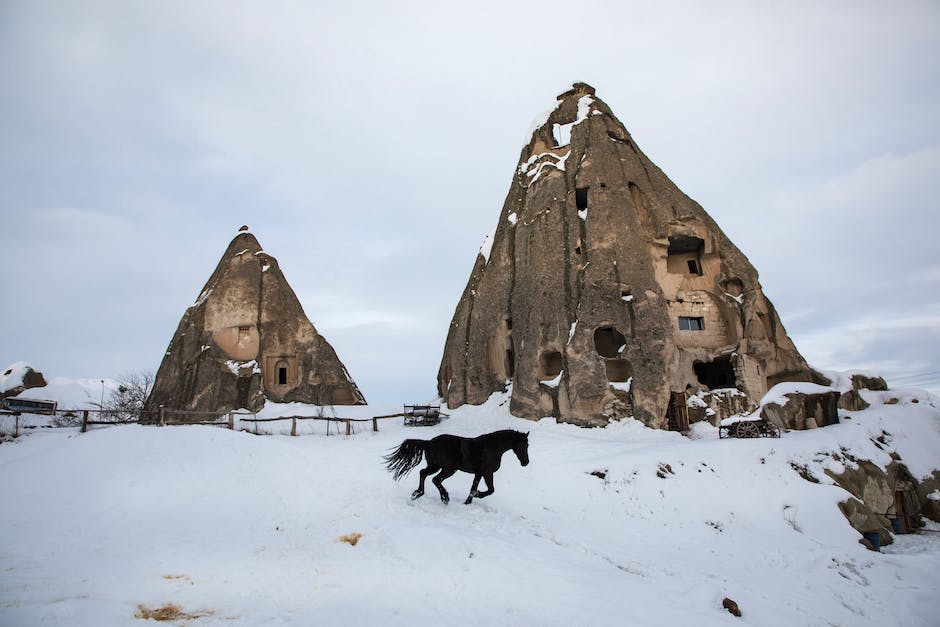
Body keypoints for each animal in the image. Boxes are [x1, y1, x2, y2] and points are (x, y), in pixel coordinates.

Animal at [382, 430, 528, 508]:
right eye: (524, 445)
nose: (526, 462)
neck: (493, 447)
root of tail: (429, 443)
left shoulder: (479, 473)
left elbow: (473, 487)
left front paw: (467, 502)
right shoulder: (487, 473)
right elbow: (490, 490)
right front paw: (477, 495)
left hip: (435, 466)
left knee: (423, 473)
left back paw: (417, 494)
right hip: (448, 469)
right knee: (435, 480)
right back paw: (444, 498)